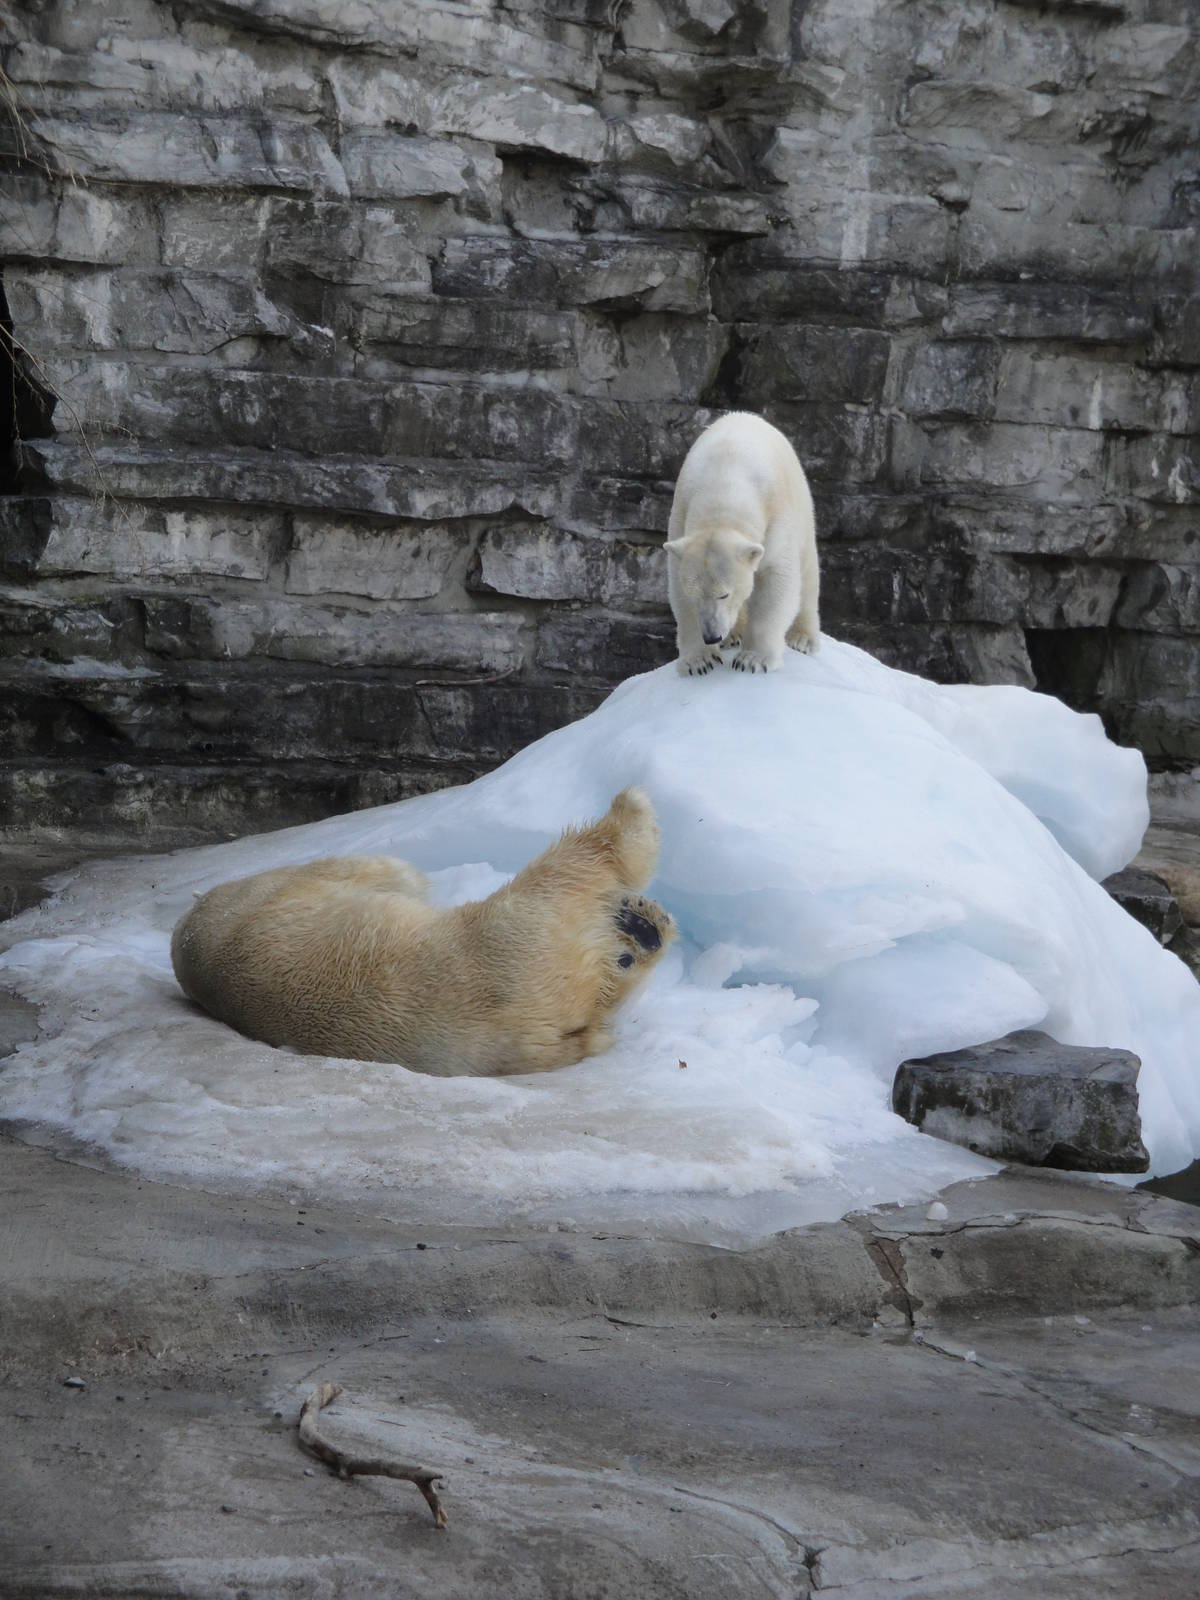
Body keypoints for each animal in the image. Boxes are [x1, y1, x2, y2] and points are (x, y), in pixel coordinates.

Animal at [665, 411, 820, 676]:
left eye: (724, 594)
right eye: (694, 593)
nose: (712, 636)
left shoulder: (776, 516)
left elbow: (776, 580)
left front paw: (752, 660)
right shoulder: (681, 514)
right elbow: (679, 589)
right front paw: (699, 661)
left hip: (803, 507)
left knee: (808, 571)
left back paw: (803, 638)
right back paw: (733, 635)